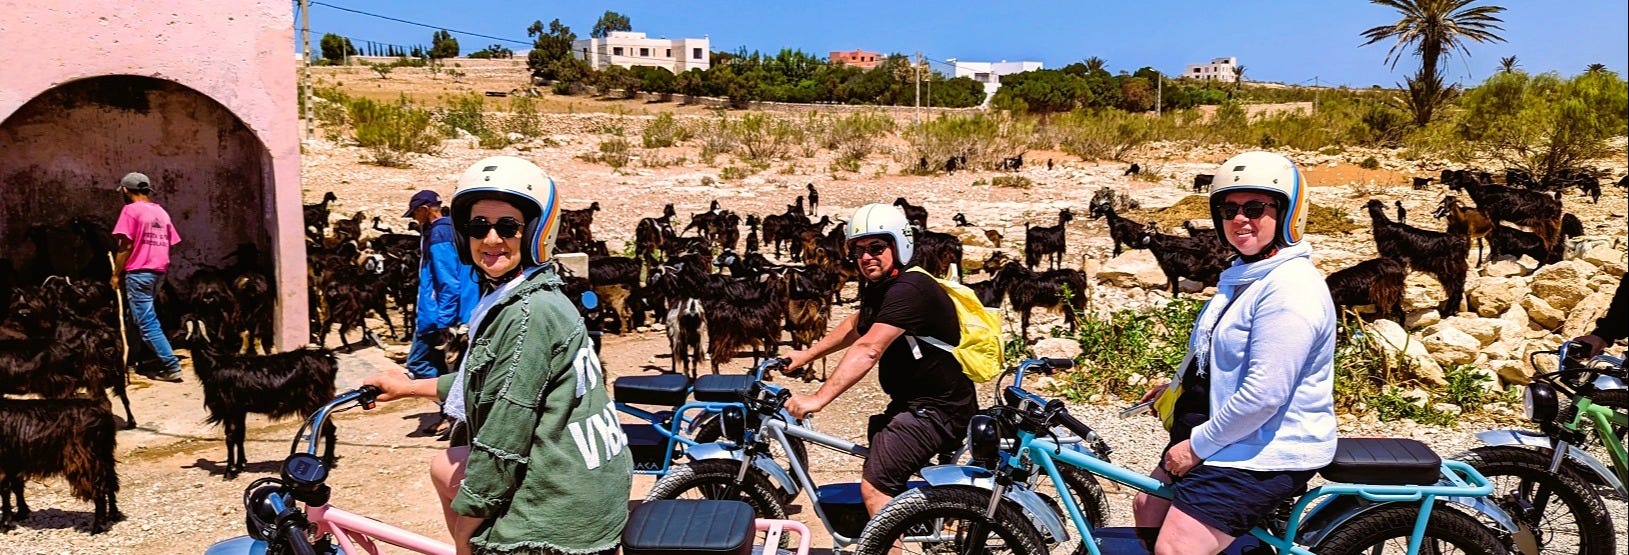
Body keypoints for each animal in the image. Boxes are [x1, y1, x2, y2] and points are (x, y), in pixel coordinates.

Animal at [190, 343, 340, 478]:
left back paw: (327, 460)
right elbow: (240, 435)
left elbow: (231, 437)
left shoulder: (230, 409)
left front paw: (229, 471)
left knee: (328, 428)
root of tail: (327, 357)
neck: (213, 364)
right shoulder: (240, 410)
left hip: (315, 401)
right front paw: (240, 465)